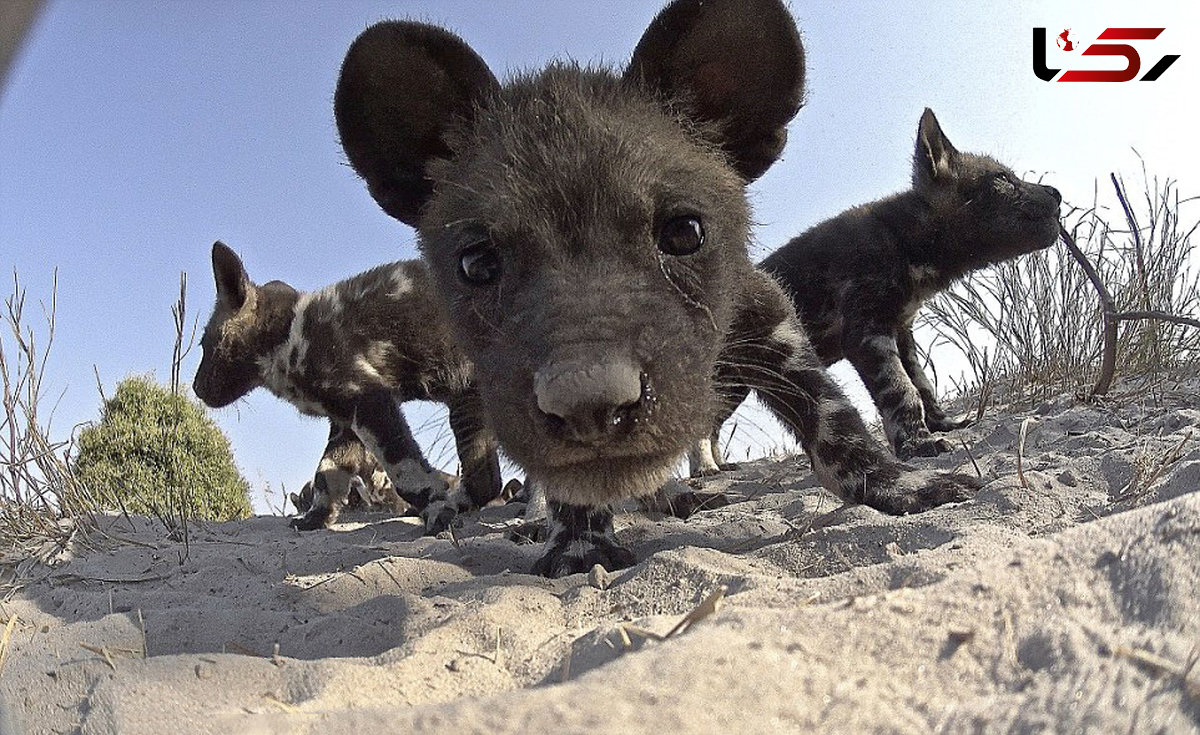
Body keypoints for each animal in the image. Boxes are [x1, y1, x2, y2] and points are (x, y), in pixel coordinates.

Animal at [193, 241, 501, 533]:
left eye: (204, 345)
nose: (196, 388)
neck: (286, 336)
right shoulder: (345, 422)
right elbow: (326, 474)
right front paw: (314, 518)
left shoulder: (370, 401)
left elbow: (404, 471)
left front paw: (437, 509)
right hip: (469, 401)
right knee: (487, 483)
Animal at [333, 0, 979, 576]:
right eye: (476, 263)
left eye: (685, 231)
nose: (590, 405)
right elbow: (569, 484)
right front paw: (579, 544)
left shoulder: (766, 316)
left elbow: (834, 412)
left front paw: (903, 484)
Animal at [696, 110, 1060, 465]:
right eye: (1002, 179)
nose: (1055, 193)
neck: (903, 239)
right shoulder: (868, 333)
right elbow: (901, 391)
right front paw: (916, 444)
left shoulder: (902, 332)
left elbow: (923, 385)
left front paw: (942, 424)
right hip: (731, 378)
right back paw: (706, 471)